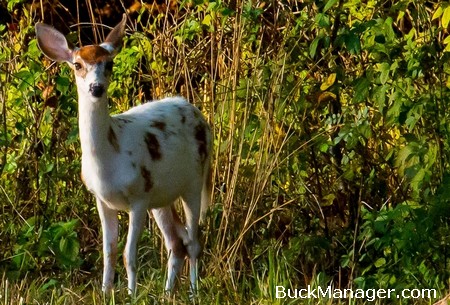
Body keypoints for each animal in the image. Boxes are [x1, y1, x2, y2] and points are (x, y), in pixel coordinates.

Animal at [33, 13, 213, 296]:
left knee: (194, 241)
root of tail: (197, 114)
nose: (96, 88)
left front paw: (132, 295)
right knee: (176, 243)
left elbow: (129, 255)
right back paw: (167, 294)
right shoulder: (102, 199)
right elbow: (109, 252)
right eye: (77, 64)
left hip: (194, 180)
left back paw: (194, 293)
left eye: (109, 63)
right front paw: (106, 293)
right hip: (161, 196)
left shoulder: (138, 197)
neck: (108, 162)